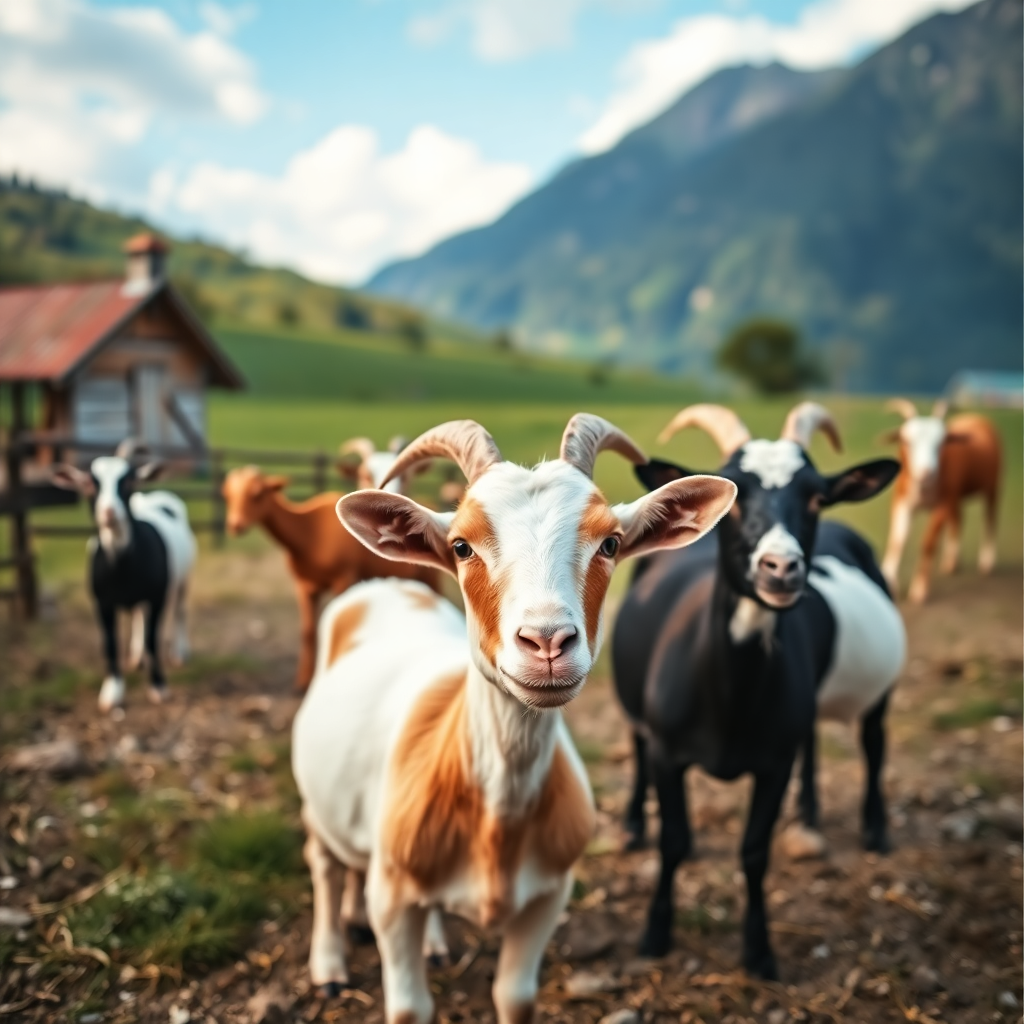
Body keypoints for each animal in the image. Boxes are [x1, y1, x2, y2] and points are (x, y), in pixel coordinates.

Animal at [52, 441, 196, 712]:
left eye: (128, 481)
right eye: (89, 483)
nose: (109, 512)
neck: (122, 567)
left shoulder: (156, 596)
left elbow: (153, 639)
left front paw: (158, 686)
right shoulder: (102, 602)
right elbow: (110, 643)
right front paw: (113, 692)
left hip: (184, 579)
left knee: (180, 611)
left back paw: (179, 652)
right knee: (139, 618)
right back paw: (136, 657)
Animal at [222, 465, 442, 691]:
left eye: (257, 494)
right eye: (227, 495)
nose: (235, 526)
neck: (309, 532)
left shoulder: (343, 579)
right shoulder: (304, 586)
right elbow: (308, 631)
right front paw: (302, 682)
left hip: (432, 577)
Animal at [292, 415, 737, 1024]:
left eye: (611, 543)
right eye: (460, 546)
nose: (547, 641)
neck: (496, 822)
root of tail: (388, 586)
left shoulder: (548, 896)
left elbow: (514, 995)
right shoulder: (391, 898)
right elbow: (410, 1008)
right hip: (316, 802)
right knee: (323, 862)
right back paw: (330, 965)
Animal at [612, 403, 905, 980]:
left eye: (816, 497)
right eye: (736, 495)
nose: (781, 568)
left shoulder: (774, 762)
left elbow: (754, 851)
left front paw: (759, 951)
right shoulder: (667, 751)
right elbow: (673, 840)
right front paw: (656, 934)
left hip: (873, 696)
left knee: (873, 740)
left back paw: (873, 828)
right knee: (634, 741)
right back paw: (635, 824)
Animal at [880, 398, 1001, 604]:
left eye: (941, 443)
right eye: (907, 441)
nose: (926, 473)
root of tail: (976, 416)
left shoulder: (943, 505)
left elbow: (928, 542)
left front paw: (919, 590)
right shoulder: (902, 502)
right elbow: (898, 539)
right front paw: (888, 581)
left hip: (992, 486)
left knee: (990, 518)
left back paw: (986, 562)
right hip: (957, 497)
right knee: (959, 518)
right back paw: (951, 562)